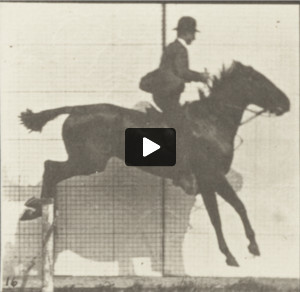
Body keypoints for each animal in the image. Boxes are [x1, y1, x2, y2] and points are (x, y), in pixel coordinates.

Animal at [19, 61, 290, 266]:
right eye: (260, 81)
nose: (286, 103)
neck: (212, 122)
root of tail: (77, 109)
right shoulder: (209, 178)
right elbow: (221, 215)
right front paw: (233, 254)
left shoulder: (212, 181)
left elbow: (238, 207)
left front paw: (250, 246)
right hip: (89, 161)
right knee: (50, 167)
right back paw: (36, 208)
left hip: (86, 161)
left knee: (52, 169)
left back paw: (36, 208)